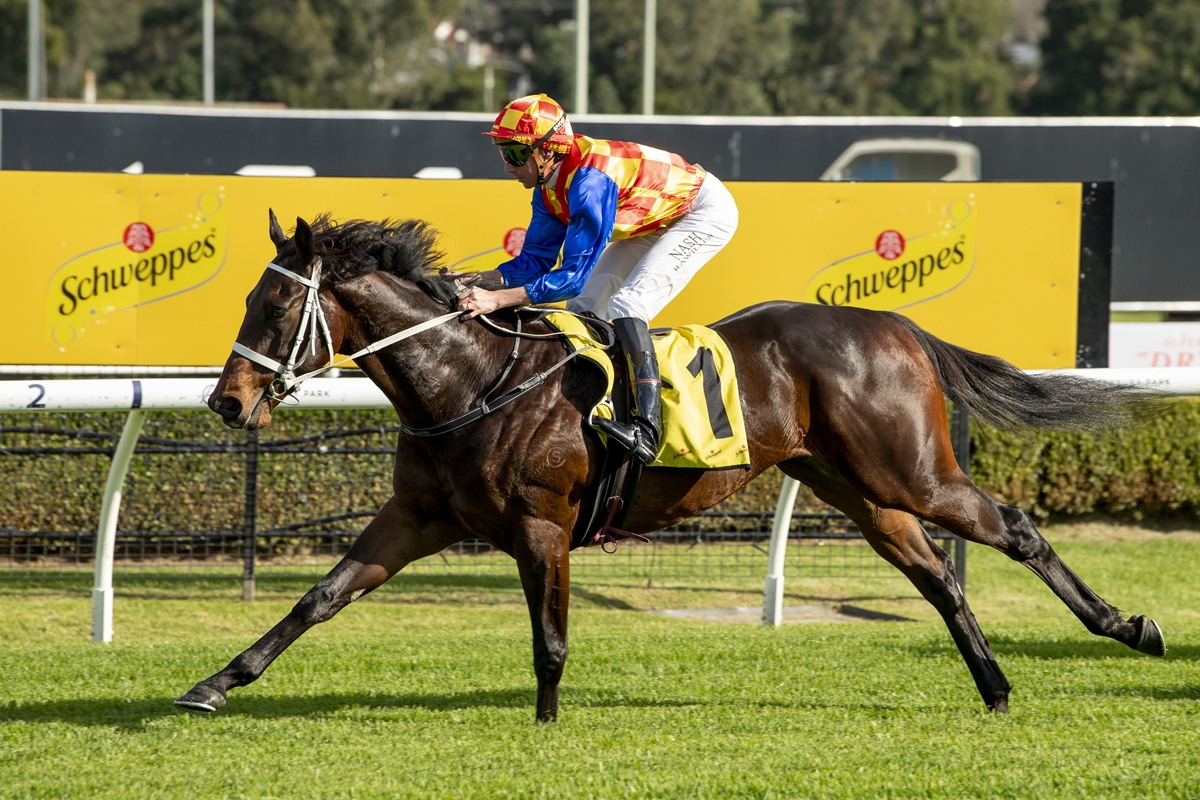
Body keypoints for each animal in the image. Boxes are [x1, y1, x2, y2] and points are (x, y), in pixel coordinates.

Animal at [175, 211, 1165, 722]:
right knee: (939, 580)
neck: (472, 379)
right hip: (858, 489)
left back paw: (1129, 628)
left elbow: (550, 639)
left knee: (1017, 529)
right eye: (251, 297)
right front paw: (213, 685)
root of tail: (896, 323)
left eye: (274, 306)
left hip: (909, 472)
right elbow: (319, 598)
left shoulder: (542, 523)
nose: (225, 402)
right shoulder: (417, 518)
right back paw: (995, 689)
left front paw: (544, 725)